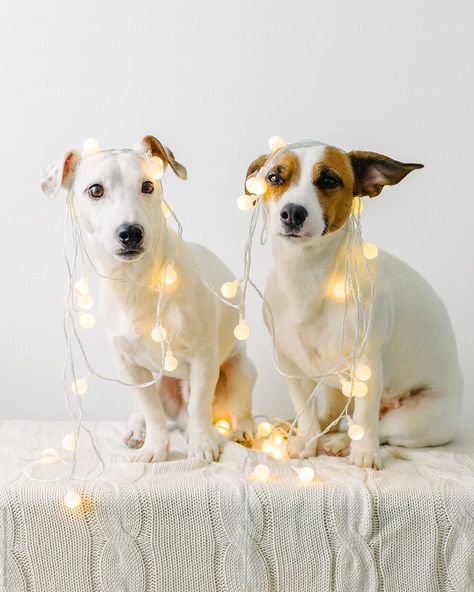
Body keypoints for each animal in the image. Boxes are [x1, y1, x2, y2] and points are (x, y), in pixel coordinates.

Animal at [41, 135, 256, 462]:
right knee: (145, 410)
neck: (137, 282)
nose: (131, 232)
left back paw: (238, 429)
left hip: (241, 369)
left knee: (235, 407)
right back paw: (137, 428)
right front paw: (155, 447)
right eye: (95, 190)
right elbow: (152, 411)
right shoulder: (129, 366)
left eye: (147, 186)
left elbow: (200, 406)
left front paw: (202, 445)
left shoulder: (204, 358)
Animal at [244, 142, 462, 468]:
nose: (292, 212)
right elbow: (306, 411)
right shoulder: (290, 365)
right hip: (335, 385)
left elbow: (366, 417)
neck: (308, 274)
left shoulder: (368, 364)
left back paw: (343, 442)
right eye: (274, 177)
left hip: (412, 419)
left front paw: (364, 454)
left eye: (329, 180)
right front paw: (306, 440)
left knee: (379, 426)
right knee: (332, 414)